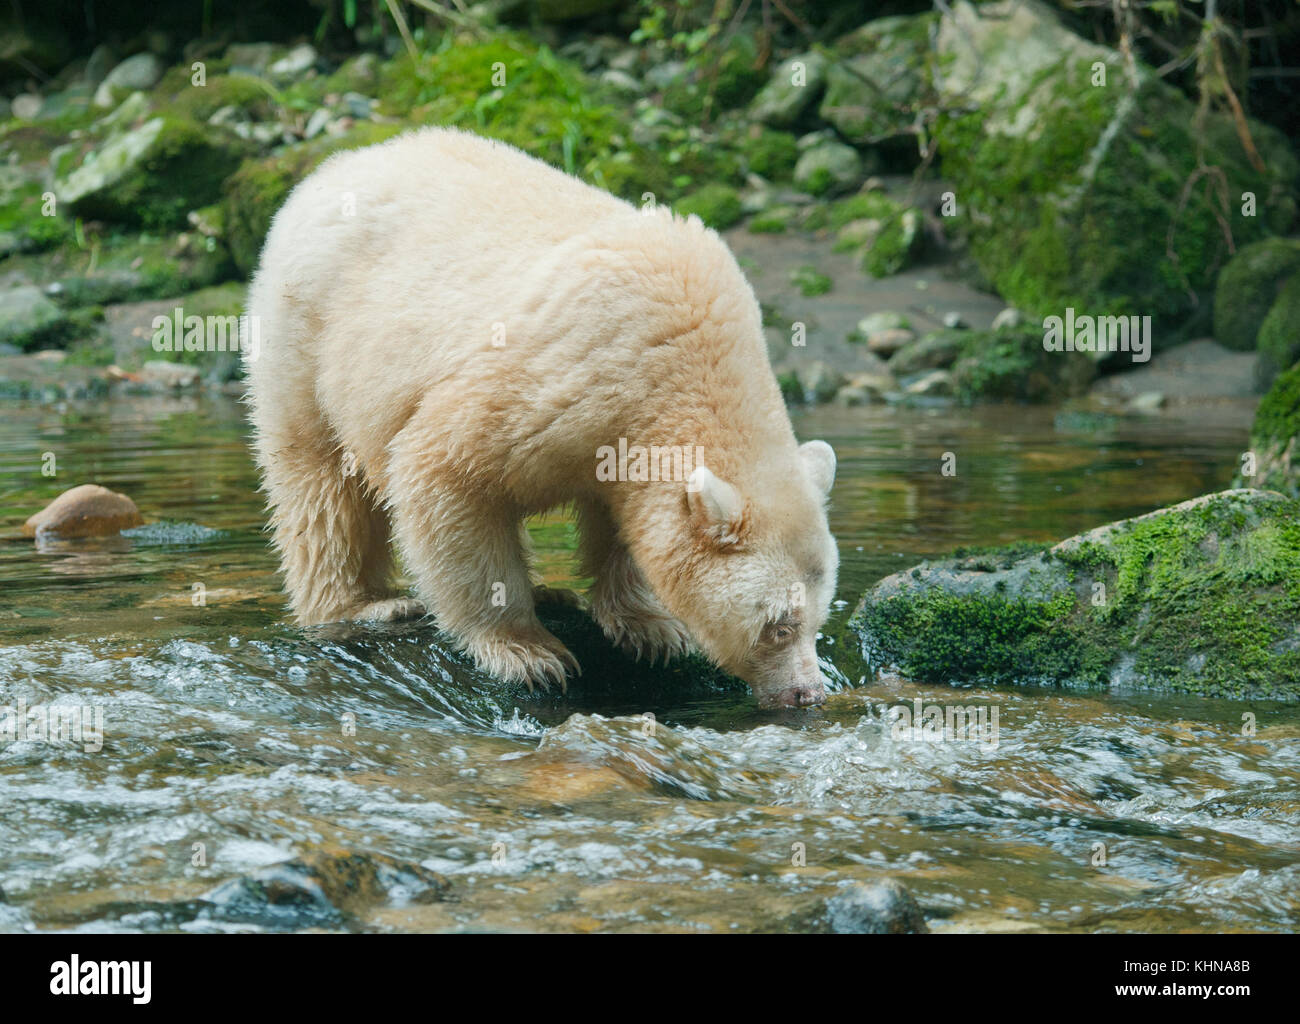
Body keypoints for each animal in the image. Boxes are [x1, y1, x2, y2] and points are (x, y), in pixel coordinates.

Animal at [244, 126, 842, 701]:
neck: (687, 359)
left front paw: (651, 629)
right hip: (310, 330)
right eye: (778, 625)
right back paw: (363, 605)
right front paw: (528, 654)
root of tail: (333, 167)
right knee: (318, 478)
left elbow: (622, 520)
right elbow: (444, 470)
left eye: (819, 618)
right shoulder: (567, 377)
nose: (807, 693)